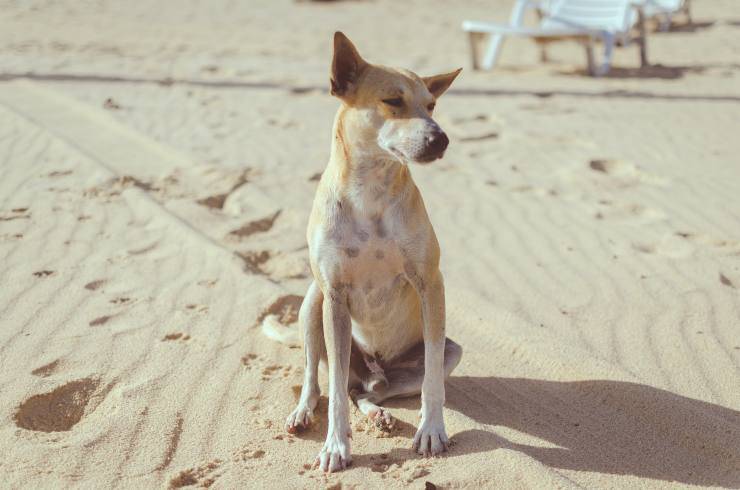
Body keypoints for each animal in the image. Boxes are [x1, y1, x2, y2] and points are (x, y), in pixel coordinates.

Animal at [286, 32, 460, 472]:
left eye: (431, 105)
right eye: (393, 100)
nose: (441, 139)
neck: (371, 193)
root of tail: (373, 370)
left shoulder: (431, 283)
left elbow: (432, 378)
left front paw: (432, 429)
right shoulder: (334, 295)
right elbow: (332, 391)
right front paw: (335, 445)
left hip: (444, 354)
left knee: (364, 392)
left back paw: (380, 412)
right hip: (312, 302)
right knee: (319, 380)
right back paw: (303, 411)